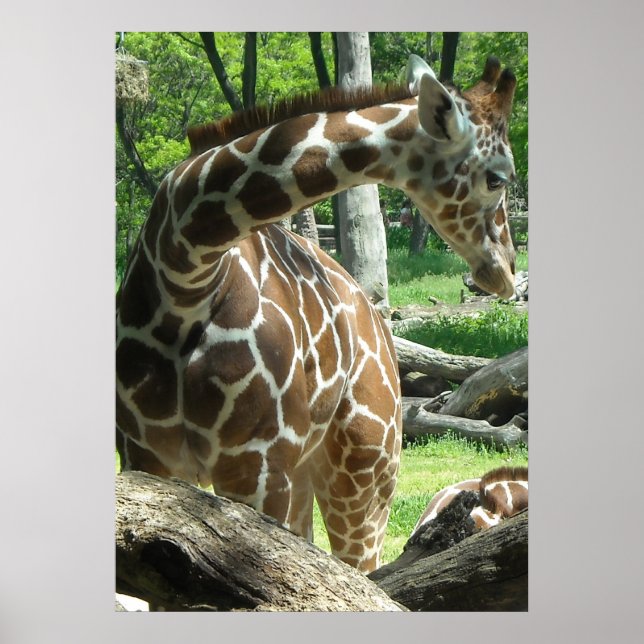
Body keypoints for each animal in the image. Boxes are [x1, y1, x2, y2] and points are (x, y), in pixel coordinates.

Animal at [116, 53, 518, 573]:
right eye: (497, 177)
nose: (506, 270)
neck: (184, 273)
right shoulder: (145, 457)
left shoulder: (257, 465)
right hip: (308, 474)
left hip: (365, 476)